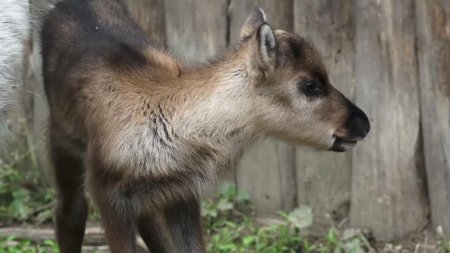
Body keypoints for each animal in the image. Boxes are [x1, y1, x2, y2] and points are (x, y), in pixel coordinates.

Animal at [42, 0, 370, 252]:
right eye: (310, 86)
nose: (363, 123)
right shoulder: (107, 192)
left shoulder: (180, 191)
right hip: (62, 146)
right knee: (69, 213)